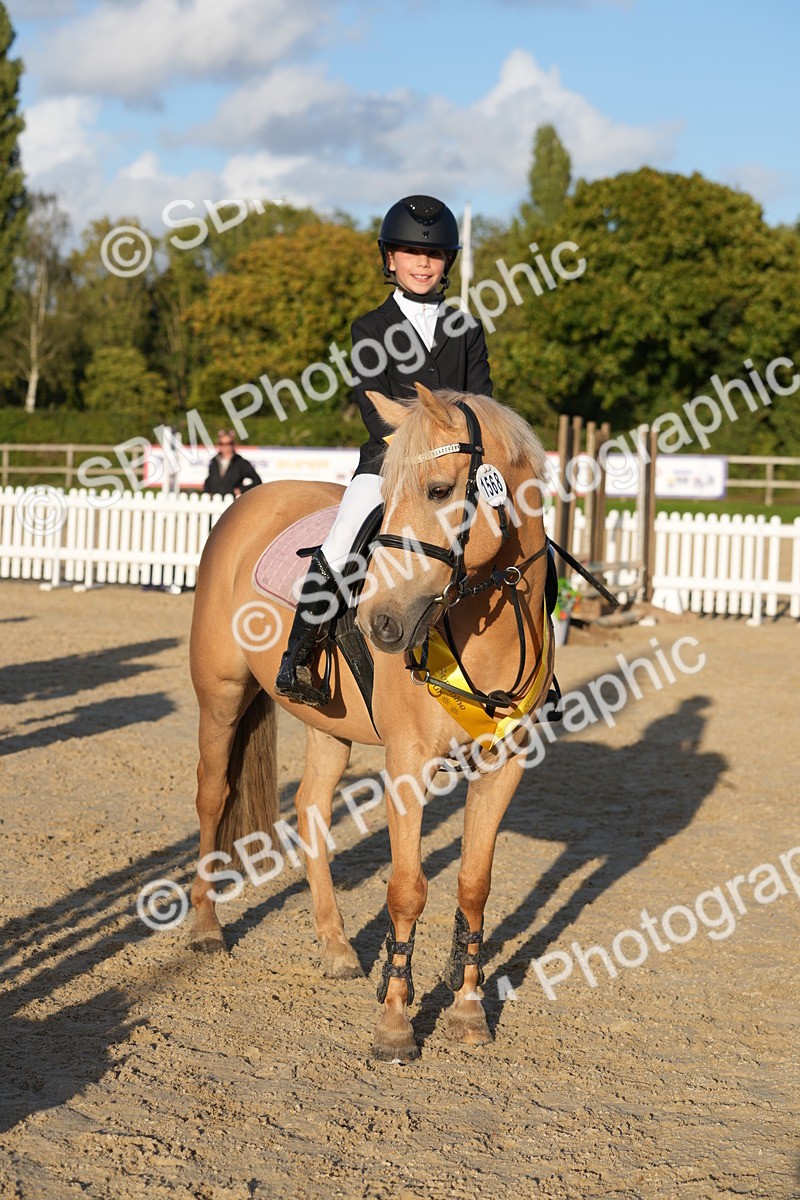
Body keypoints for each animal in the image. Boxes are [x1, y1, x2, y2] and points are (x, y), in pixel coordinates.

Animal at [189, 383, 554, 1063]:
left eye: (438, 489)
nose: (382, 623)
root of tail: (250, 499)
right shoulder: (407, 765)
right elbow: (407, 888)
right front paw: (395, 1022)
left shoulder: (504, 767)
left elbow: (473, 884)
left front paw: (468, 1010)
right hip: (220, 697)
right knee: (212, 795)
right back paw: (203, 925)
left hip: (328, 725)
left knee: (309, 807)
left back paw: (335, 948)